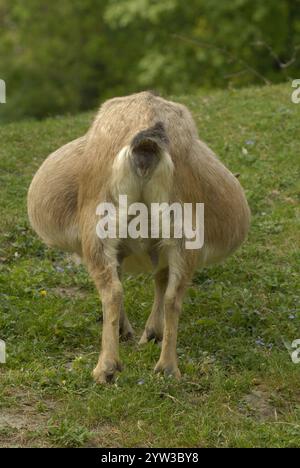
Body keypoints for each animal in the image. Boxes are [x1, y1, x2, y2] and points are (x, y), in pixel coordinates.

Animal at [27, 91, 251, 384]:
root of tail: (146, 143)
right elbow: (158, 280)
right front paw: (148, 333)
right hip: (182, 234)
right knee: (172, 296)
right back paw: (167, 368)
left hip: (99, 226)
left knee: (112, 290)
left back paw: (106, 368)